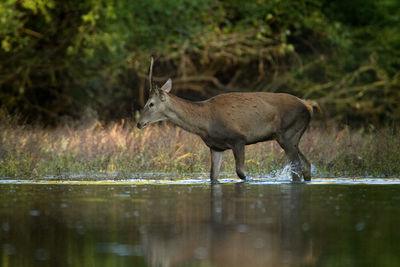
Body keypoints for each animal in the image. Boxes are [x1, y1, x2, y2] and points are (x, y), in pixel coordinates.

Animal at [136, 59, 320, 183]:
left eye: (151, 103)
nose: (139, 123)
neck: (204, 123)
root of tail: (308, 106)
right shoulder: (216, 147)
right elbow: (213, 176)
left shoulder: (238, 138)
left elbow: (241, 172)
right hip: (291, 136)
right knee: (306, 165)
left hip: (288, 133)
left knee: (297, 168)